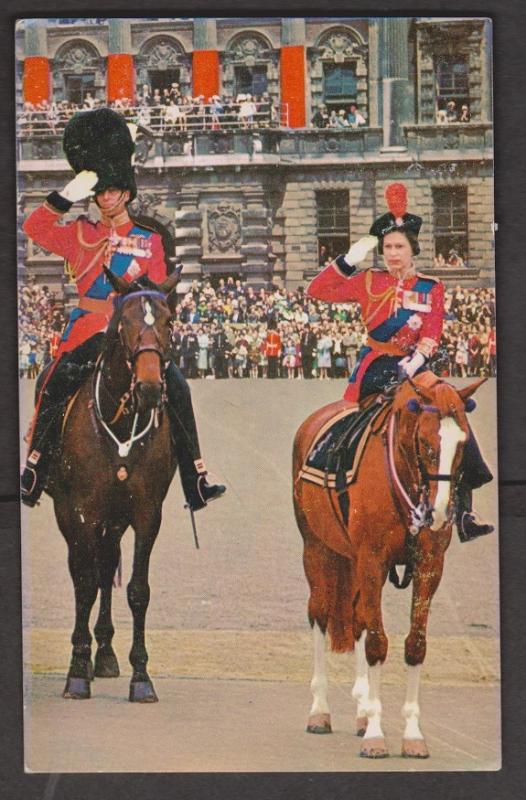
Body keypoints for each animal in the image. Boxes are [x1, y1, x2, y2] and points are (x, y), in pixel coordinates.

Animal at [48, 268, 179, 700]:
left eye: (169, 321)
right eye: (125, 324)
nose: (150, 389)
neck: (119, 423)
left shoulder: (145, 514)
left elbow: (137, 590)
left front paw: (141, 676)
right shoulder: (83, 512)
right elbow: (84, 583)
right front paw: (76, 670)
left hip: (115, 519)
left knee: (106, 567)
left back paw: (104, 653)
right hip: (70, 513)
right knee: (83, 571)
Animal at [292, 374, 486, 756]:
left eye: (463, 443)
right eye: (425, 442)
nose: (439, 514)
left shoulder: (428, 566)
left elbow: (414, 645)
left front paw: (410, 733)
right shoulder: (372, 561)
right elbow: (377, 644)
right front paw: (375, 735)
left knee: (356, 620)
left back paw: (361, 710)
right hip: (317, 550)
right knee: (320, 614)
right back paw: (320, 710)